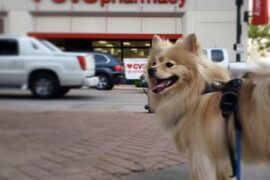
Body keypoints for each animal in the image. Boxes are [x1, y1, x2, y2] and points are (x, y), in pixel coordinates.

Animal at [147, 33, 270, 179]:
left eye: (169, 64)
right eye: (154, 63)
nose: (150, 70)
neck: (196, 93)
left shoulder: (200, 154)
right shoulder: (223, 159)